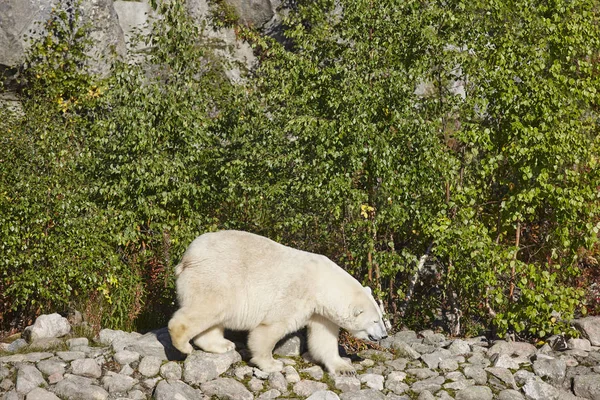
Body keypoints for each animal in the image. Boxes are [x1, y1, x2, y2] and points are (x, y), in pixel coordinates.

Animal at [168, 230, 390, 374]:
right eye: (375, 321)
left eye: (381, 317)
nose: (384, 335)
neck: (322, 283)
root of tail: (186, 258)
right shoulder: (297, 294)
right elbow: (270, 328)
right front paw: (272, 364)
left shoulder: (319, 311)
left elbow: (324, 338)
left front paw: (344, 368)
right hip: (216, 277)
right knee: (209, 307)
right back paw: (185, 346)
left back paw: (222, 345)